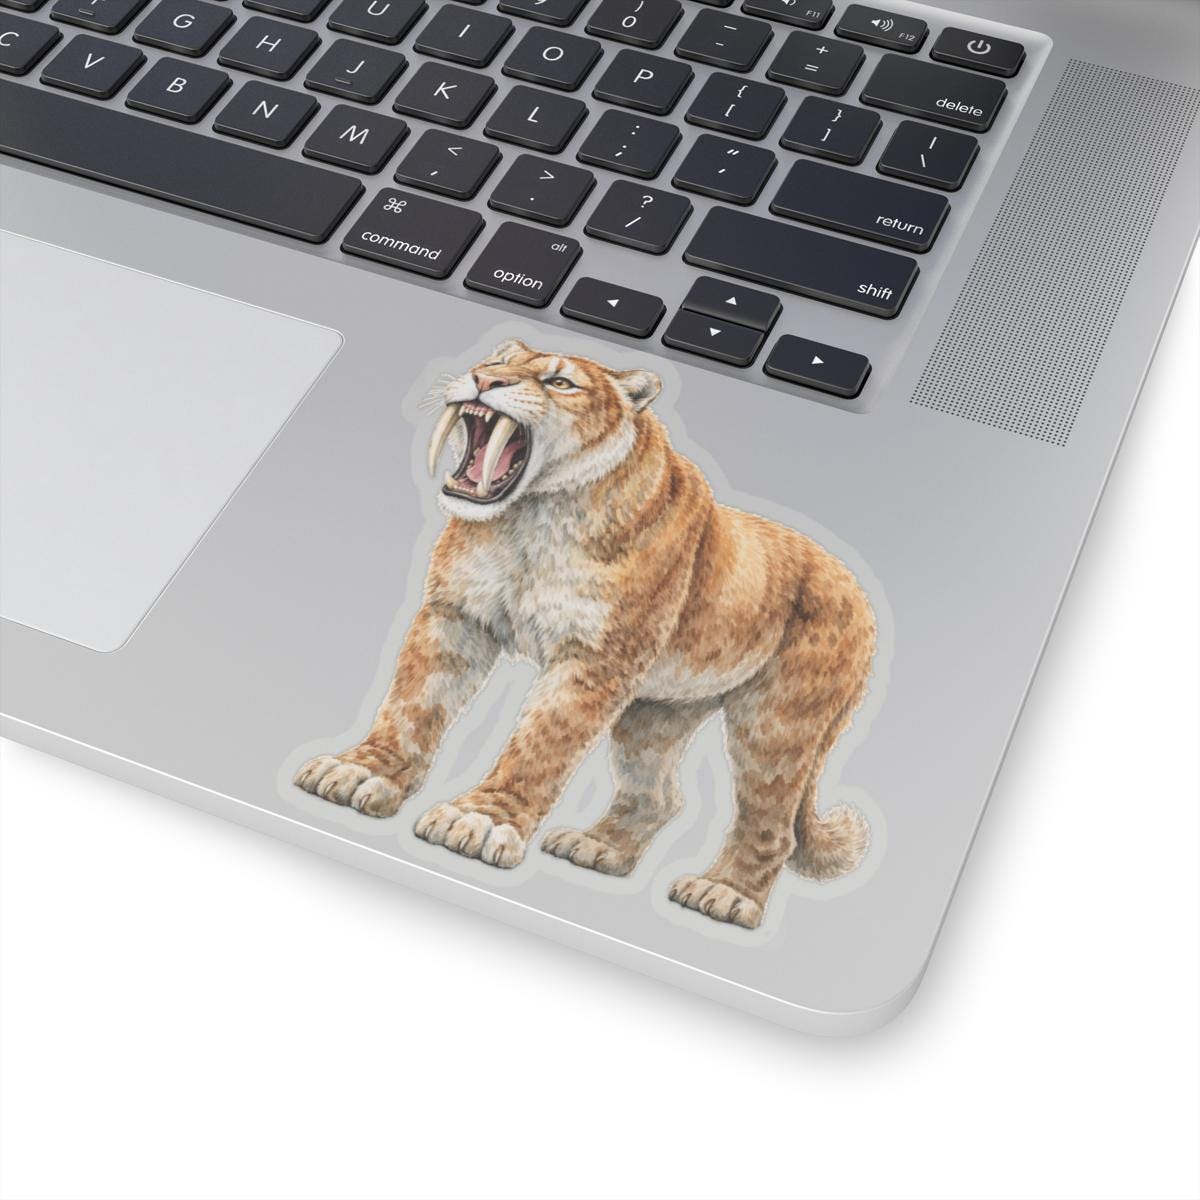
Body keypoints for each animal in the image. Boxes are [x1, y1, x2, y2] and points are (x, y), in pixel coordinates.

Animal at [293, 339, 876, 929]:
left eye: (561, 383)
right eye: (497, 360)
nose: (485, 381)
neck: (532, 518)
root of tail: (856, 589)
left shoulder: (594, 659)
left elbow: (541, 742)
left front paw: (481, 821)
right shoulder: (456, 616)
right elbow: (412, 704)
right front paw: (360, 772)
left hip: (776, 722)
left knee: (773, 824)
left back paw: (724, 894)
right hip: (656, 713)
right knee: (660, 795)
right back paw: (599, 848)